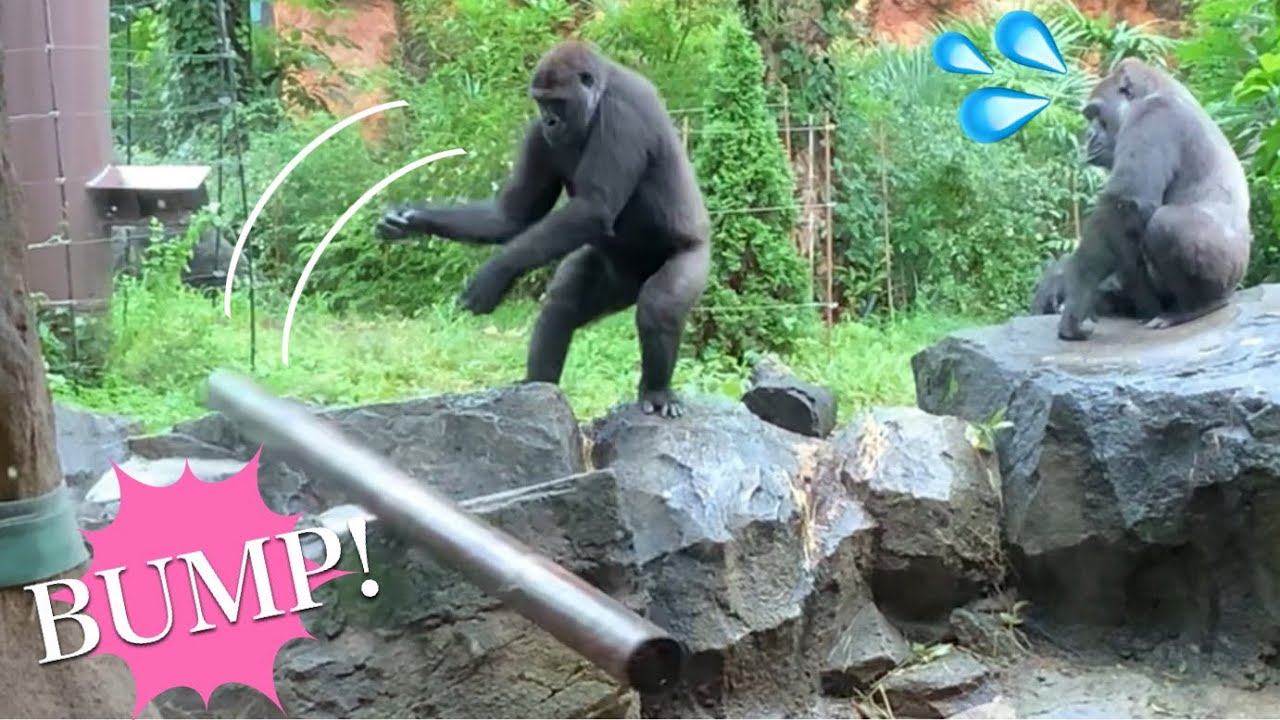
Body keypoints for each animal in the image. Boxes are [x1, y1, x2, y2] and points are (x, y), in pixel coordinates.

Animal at [376, 40, 711, 418]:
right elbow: (513, 216)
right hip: (617, 279)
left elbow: (592, 208)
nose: (550, 121)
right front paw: (412, 219)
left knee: (660, 306)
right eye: (541, 102)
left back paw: (655, 390)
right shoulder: (537, 134)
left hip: (694, 255)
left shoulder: (621, 112)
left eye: (558, 102)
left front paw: (496, 271)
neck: (601, 91)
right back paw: (539, 388)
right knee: (562, 304)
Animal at [1056, 58, 1251, 341]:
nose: (1088, 137)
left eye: (1096, 114)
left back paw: (1194, 307)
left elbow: (1124, 206)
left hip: (1230, 275)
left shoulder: (1153, 115)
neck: (1154, 89)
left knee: (1165, 224)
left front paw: (1075, 302)